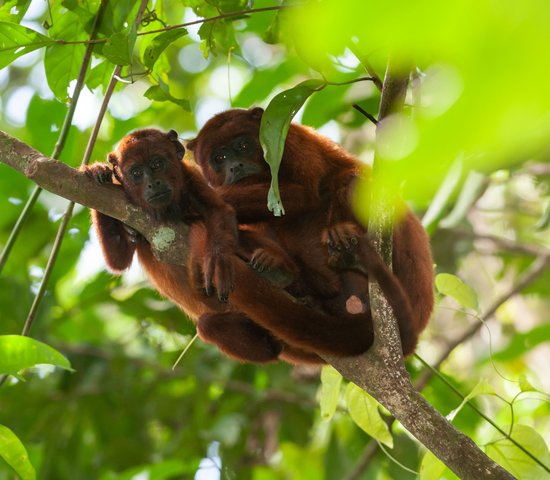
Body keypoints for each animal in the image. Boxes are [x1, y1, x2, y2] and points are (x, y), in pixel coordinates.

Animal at [190, 109, 436, 356]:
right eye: (219, 158)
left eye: (242, 146)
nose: (236, 167)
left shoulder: (291, 142)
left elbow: (304, 194)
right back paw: (285, 274)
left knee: (353, 183)